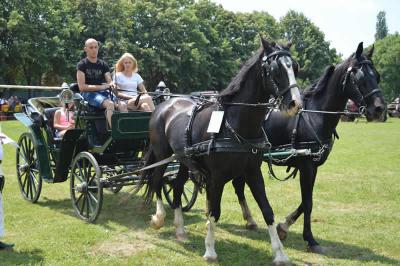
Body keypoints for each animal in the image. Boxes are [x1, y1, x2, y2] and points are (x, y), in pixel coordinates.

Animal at [138, 37, 304, 264]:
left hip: (183, 160)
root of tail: (164, 104)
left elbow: (267, 210)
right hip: (163, 155)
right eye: (275, 69)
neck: (234, 124)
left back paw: (180, 229)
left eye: (294, 67)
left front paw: (280, 254)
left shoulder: (253, 172)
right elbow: (214, 211)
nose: (296, 104)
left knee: (178, 187)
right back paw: (159, 218)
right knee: (156, 181)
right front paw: (210, 250)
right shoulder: (216, 177)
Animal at [233, 41, 386, 254]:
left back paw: (249, 220)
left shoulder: (313, 167)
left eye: (377, 76)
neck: (316, 115)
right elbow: (308, 202)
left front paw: (284, 225)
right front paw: (310, 239)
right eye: (359, 78)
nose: (380, 109)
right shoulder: (307, 166)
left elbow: (306, 201)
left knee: (238, 184)